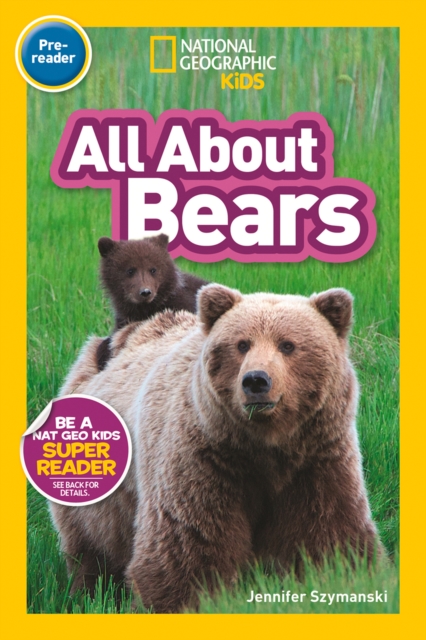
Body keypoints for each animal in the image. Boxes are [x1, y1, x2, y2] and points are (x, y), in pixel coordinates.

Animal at [51, 284, 381, 613]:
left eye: (288, 345)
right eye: (242, 344)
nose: (256, 380)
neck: (265, 445)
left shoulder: (317, 459)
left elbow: (328, 534)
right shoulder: (204, 458)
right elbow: (190, 544)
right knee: (90, 543)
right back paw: (86, 593)